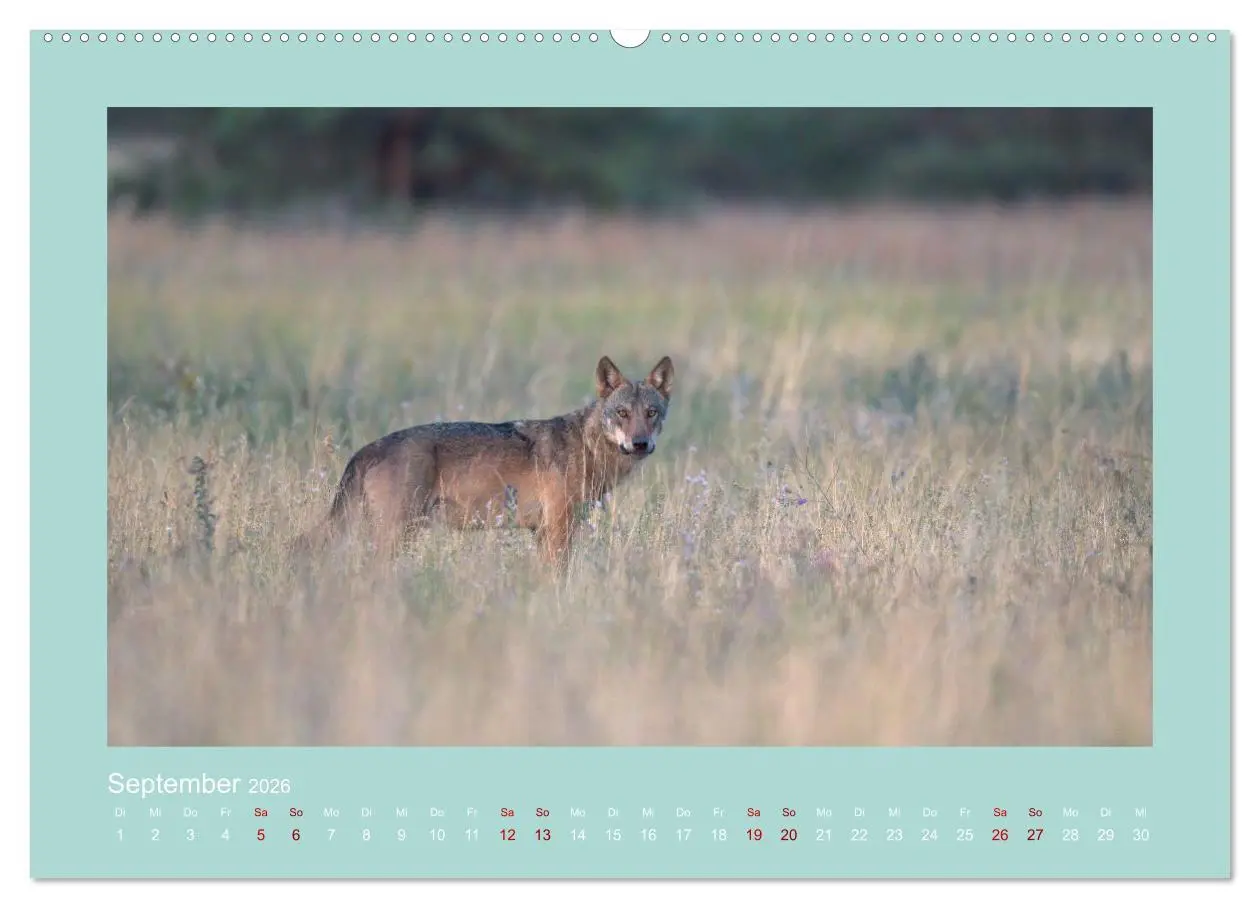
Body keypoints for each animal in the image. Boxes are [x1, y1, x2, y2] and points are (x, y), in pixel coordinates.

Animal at [298, 355, 674, 565]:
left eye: (651, 413)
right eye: (622, 413)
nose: (640, 444)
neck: (587, 445)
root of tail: (367, 448)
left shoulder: (542, 533)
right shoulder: (558, 529)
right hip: (393, 533)